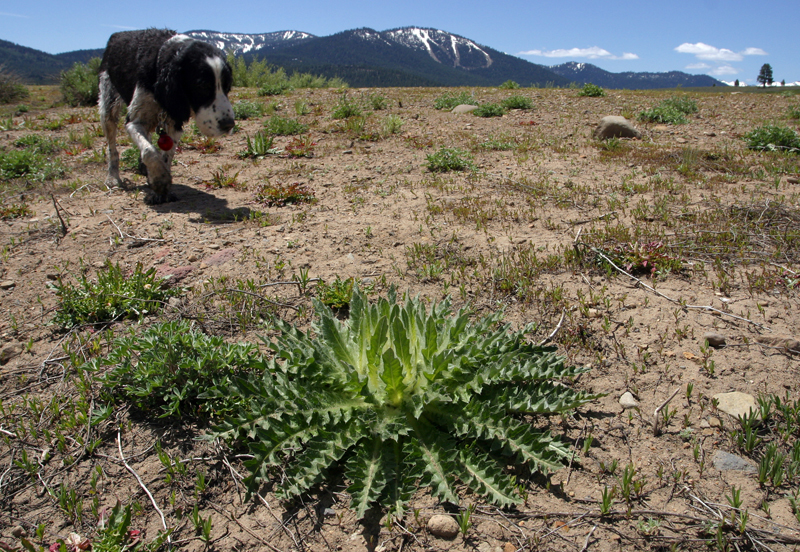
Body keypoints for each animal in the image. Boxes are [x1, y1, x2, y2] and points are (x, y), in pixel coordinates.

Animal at [97, 29, 234, 204]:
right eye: (202, 86)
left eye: (227, 86)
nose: (229, 125)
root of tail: (116, 35)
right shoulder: (134, 121)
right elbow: (149, 151)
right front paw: (160, 181)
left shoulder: (174, 122)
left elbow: (165, 155)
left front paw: (161, 188)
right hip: (108, 103)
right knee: (112, 147)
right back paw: (113, 177)